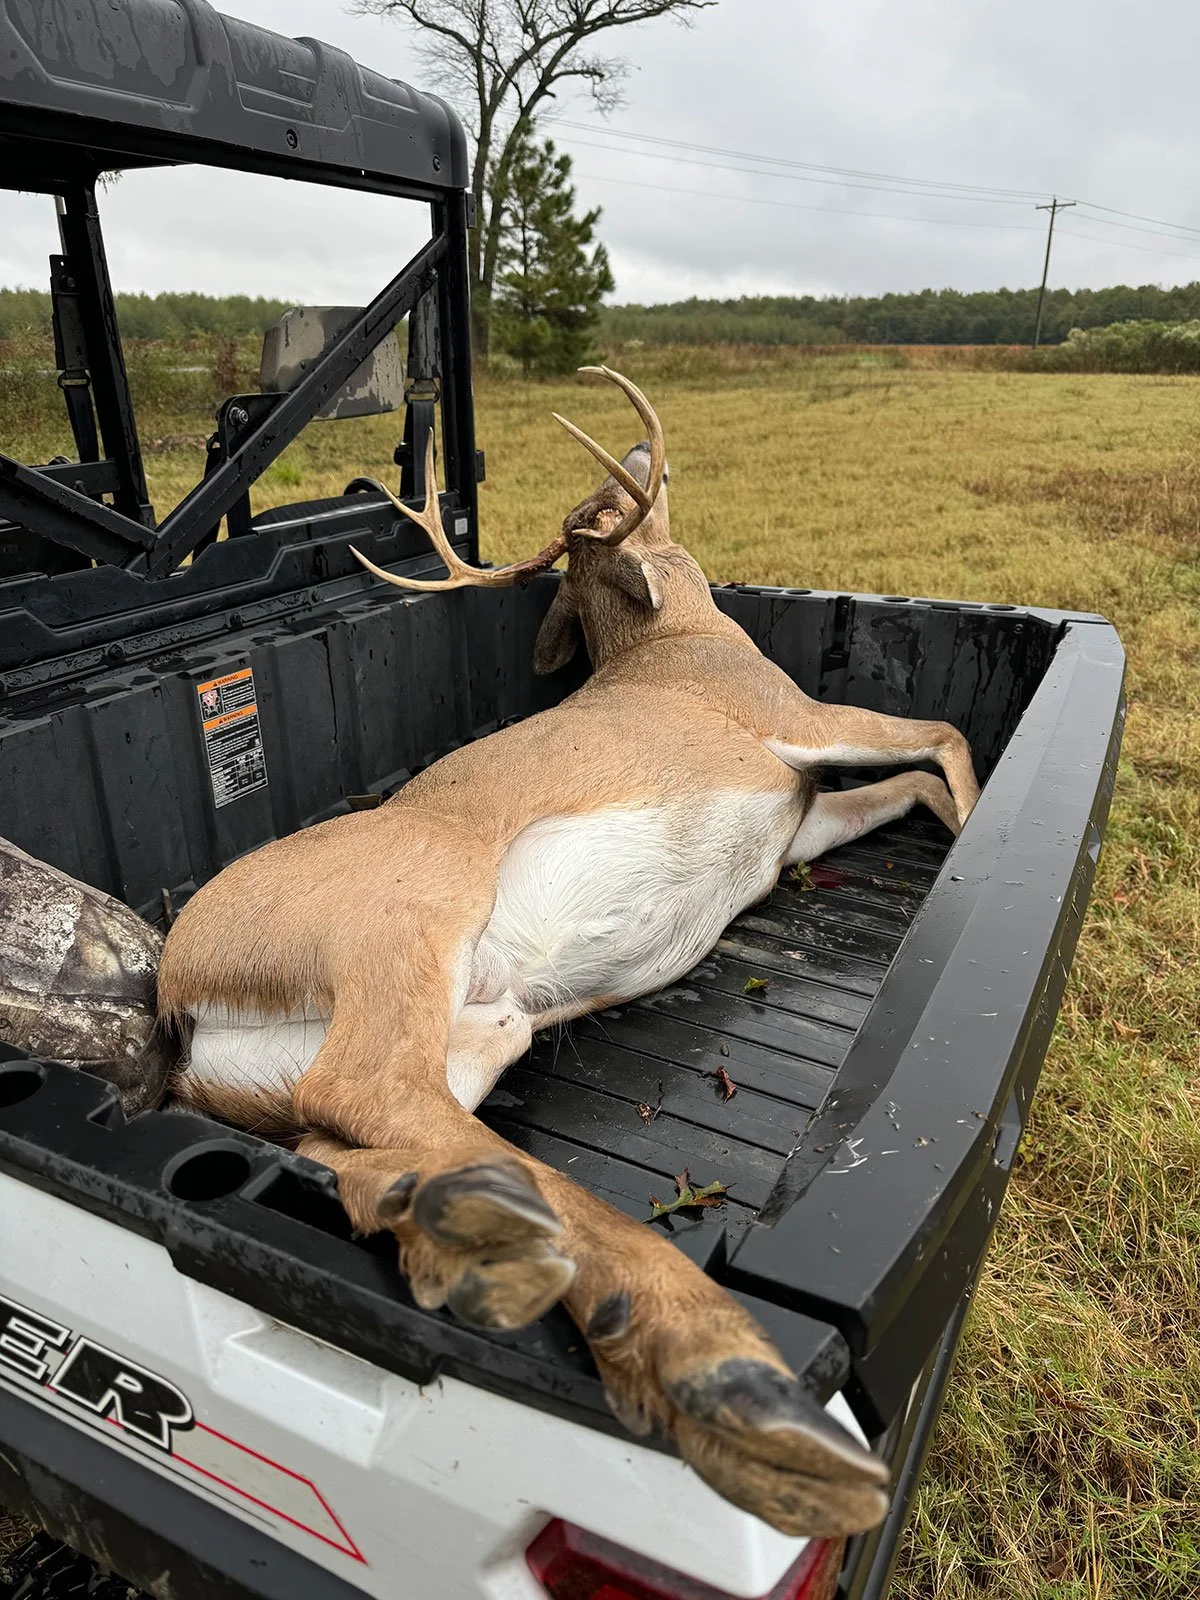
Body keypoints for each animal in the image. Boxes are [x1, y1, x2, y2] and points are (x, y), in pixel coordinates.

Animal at [157, 367, 979, 1539]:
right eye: (616, 496)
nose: (639, 463)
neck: (673, 642)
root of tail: (178, 993)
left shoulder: (796, 825)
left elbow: (910, 783)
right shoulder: (791, 716)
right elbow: (945, 736)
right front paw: (983, 830)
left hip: (451, 1028)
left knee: (344, 1138)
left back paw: (475, 1247)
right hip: (411, 911)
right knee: (368, 1089)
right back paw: (709, 1360)